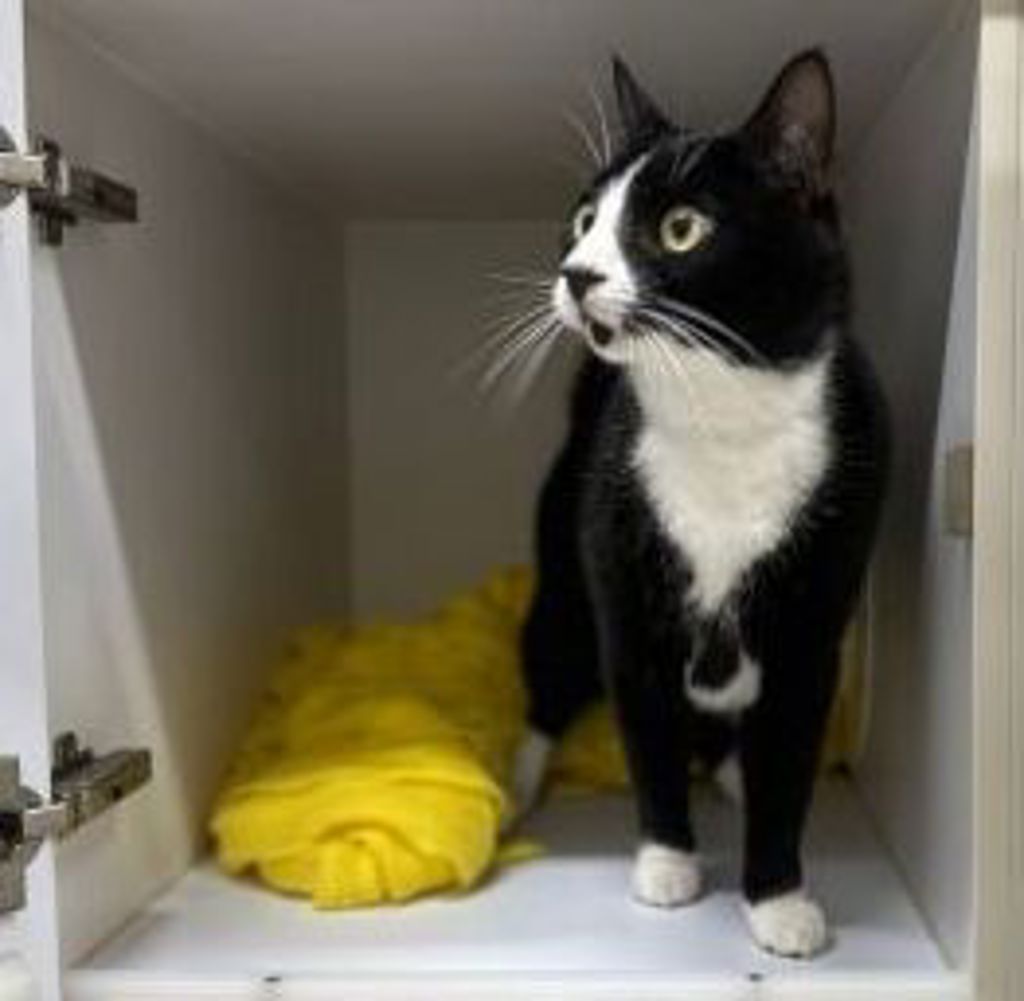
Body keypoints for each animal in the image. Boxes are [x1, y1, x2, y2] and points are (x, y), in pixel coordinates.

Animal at [512, 50, 889, 958]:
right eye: (585, 219)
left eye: (682, 228)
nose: (577, 274)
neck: (722, 418)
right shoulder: (624, 599)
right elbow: (647, 731)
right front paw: (666, 862)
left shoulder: (814, 624)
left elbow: (789, 752)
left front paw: (779, 897)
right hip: (562, 562)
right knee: (549, 666)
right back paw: (519, 783)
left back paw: (731, 775)